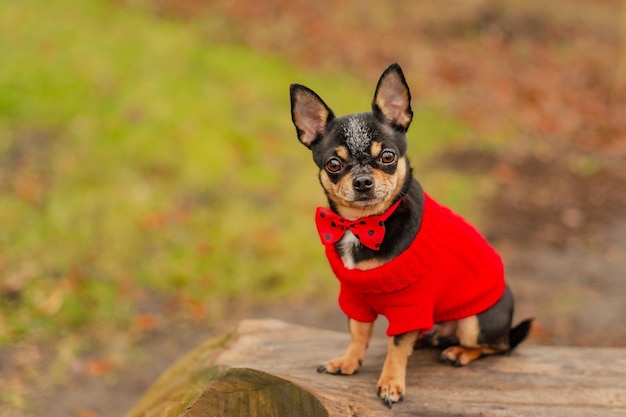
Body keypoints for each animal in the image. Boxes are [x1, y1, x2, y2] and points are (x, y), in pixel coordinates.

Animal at [286, 63, 528, 408]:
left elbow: (396, 347)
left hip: (476, 323)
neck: (364, 224)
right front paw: (348, 361)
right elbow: (358, 333)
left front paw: (390, 383)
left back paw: (459, 352)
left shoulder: (410, 307)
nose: (362, 181)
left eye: (387, 157)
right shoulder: (354, 299)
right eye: (333, 164)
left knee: (497, 347)